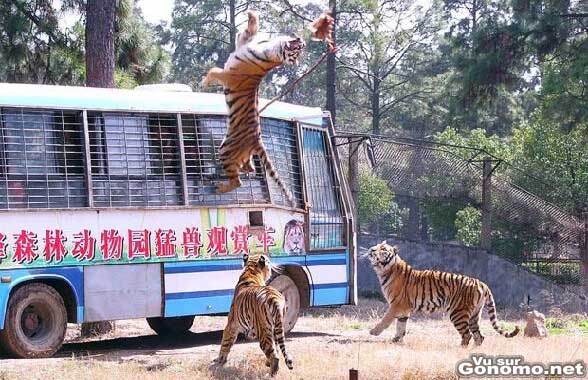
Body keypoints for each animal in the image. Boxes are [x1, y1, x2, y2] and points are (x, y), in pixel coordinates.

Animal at [366, 242, 520, 346]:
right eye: (376, 246)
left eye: (383, 249)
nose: (371, 249)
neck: (384, 270)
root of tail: (482, 283)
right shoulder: (403, 309)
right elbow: (401, 326)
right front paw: (396, 340)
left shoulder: (396, 305)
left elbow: (386, 319)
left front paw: (374, 332)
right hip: (475, 314)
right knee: (479, 336)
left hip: (458, 312)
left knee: (467, 335)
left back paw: (460, 350)